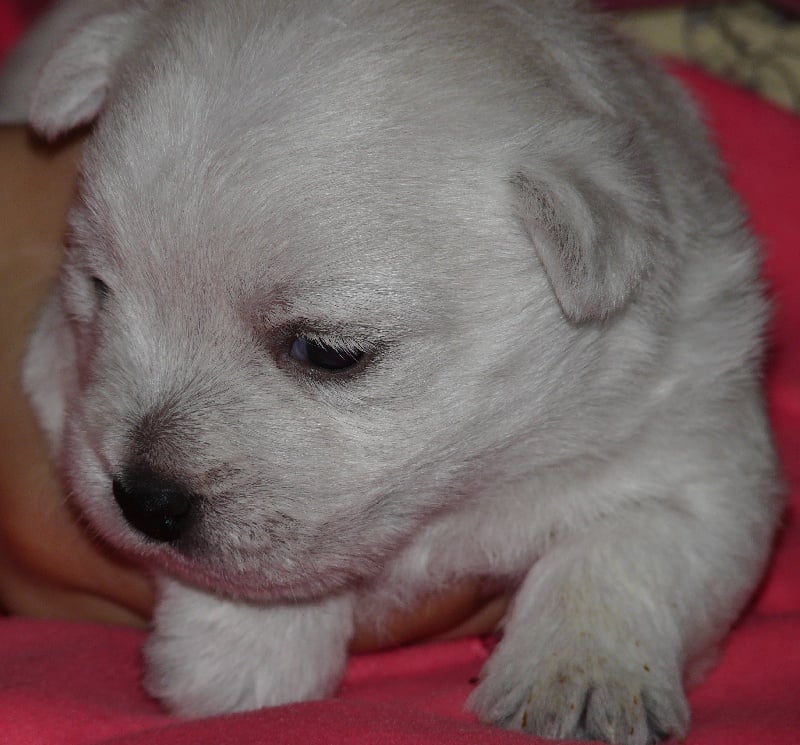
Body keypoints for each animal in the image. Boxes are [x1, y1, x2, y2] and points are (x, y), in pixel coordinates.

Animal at [0, 1, 781, 743]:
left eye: (327, 351)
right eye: (98, 288)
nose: (144, 501)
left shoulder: (701, 445)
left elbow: (626, 544)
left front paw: (580, 680)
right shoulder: (60, 380)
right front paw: (246, 654)